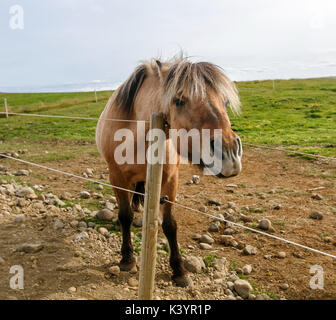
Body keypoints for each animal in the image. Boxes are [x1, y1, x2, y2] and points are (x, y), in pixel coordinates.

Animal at [96, 55, 243, 288]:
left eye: (226, 102)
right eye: (179, 100)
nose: (229, 154)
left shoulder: (170, 180)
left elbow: (170, 225)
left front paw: (179, 269)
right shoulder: (116, 177)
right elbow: (125, 215)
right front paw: (127, 258)